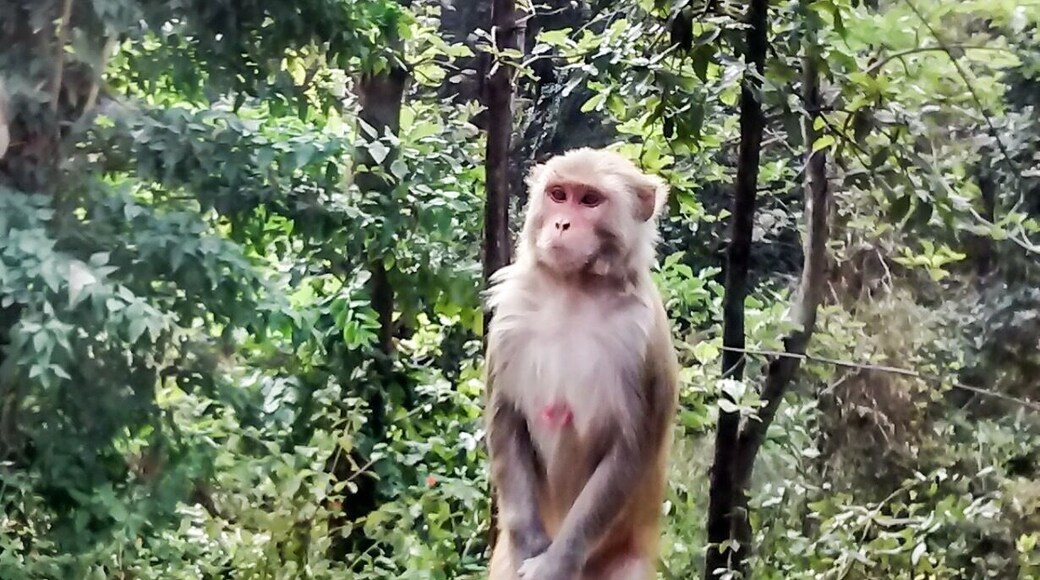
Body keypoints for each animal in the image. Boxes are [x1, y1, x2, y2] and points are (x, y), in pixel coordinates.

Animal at [484, 147, 679, 580]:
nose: (561, 223)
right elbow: (507, 417)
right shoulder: (509, 317)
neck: (573, 291)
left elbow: (632, 448)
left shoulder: (640, 339)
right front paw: (530, 547)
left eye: (590, 200)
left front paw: (554, 565)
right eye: (558, 194)